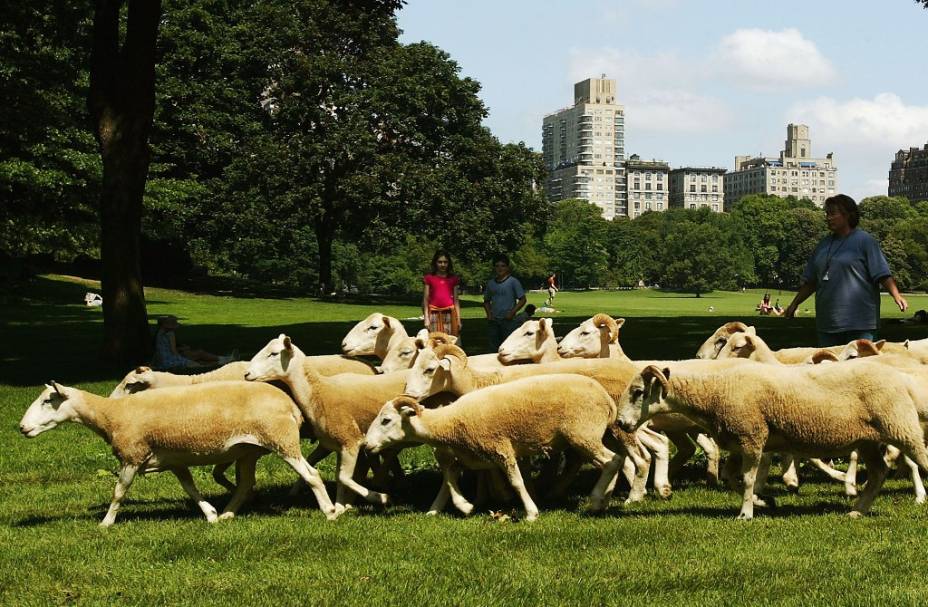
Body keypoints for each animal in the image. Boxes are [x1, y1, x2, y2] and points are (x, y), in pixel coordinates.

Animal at [19, 381, 335, 526]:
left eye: (48, 400)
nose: (22, 428)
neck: (110, 416)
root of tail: (290, 405)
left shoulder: (133, 454)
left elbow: (118, 492)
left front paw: (106, 523)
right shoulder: (174, 461)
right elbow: (190, 489)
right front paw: (209, 514)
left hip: (282, 440)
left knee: (311, 474)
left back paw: (330, 511)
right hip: (249, 450)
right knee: (246, 484)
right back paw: (227, 514)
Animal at [365, 375, 627, 522]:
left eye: (386, 420)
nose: (366, 445)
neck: (450, 421)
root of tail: (607, 399)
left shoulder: (500, 447)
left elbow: (516, 482)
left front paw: (531, 513)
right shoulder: (469, 455)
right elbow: (448, 481)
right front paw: (453, 507)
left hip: (583, 433)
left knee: (611, 460)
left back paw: (596, 500)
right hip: (585, 436)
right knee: (614, 461)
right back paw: (603, 500)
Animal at [616, 360, 928, 519]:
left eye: (638, 392)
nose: (620, 423)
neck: (716, 391)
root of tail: (903, 379)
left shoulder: (752, 435)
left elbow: (748, 478)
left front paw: (746, 514)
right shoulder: (738, 440)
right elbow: (732, 478)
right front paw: (764, 502)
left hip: (901, 427)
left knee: (921, 460)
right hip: (868, 440)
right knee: (878, 473)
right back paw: (857, 511)